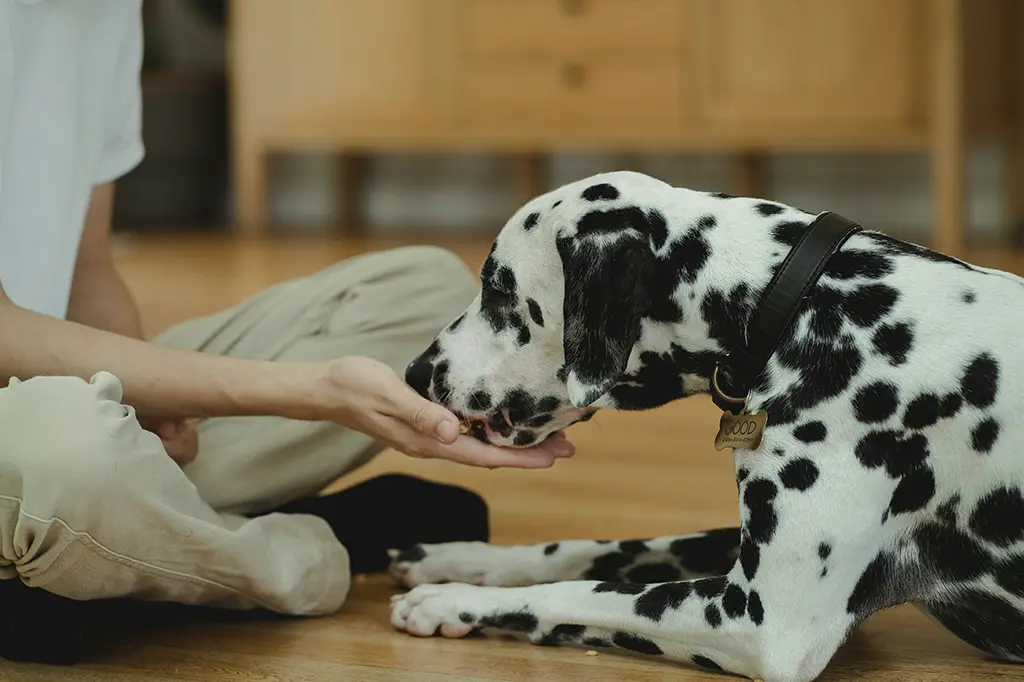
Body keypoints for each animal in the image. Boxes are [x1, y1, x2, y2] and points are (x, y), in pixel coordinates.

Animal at [387, 169, 1019, 679]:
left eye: (498, 288)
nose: (414, 373)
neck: (800, 307)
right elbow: (586, 549)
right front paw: (461, 561)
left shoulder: (761, 623)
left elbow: (579, 590)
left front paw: (450, 600)